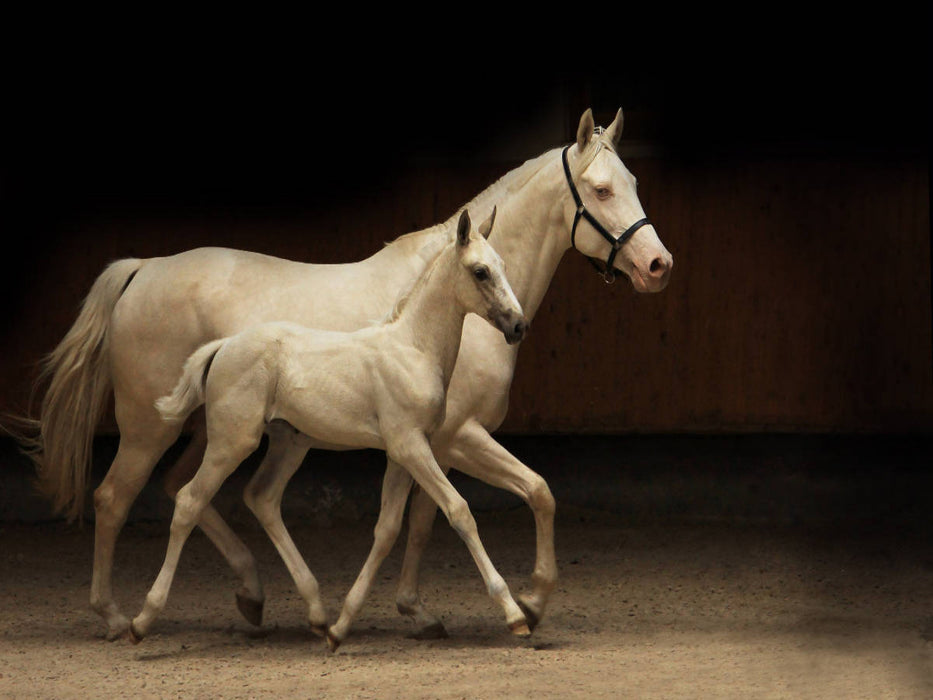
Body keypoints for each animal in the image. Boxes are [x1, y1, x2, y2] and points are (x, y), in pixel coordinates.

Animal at [129, 210, 528, 648]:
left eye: (503, 265)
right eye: (480, 271)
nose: (518, 325)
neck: (412, 348)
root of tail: (225, 346)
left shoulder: (403, 453)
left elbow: (387, 529)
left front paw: (340, 628)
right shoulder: (411, 446)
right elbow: (459, 510)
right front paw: (514, 614)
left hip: (288, 443)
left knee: (261, 498)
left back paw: (317, 614)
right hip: (230, 442)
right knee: (188, 501)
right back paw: (141, 620)